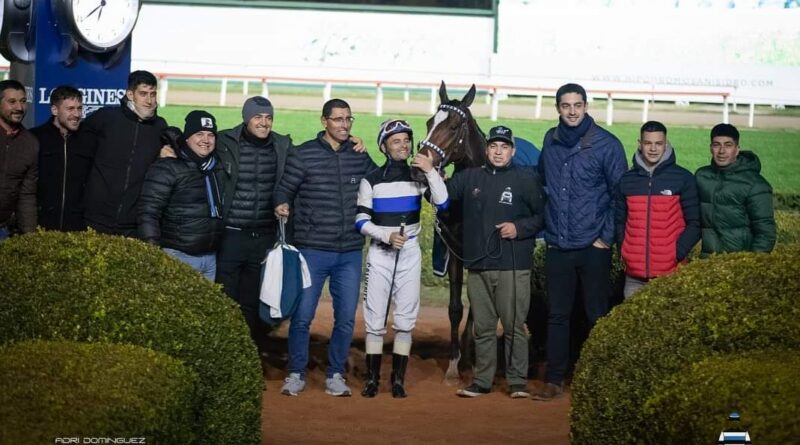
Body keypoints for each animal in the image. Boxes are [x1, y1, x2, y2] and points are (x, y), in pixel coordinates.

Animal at [411, 81, 487, 382]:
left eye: (454, 126)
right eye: (430, 122)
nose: (419, 170)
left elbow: (480, 307)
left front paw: (471, 360)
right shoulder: (456, 252)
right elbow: (456, 308)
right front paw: (455, 363)